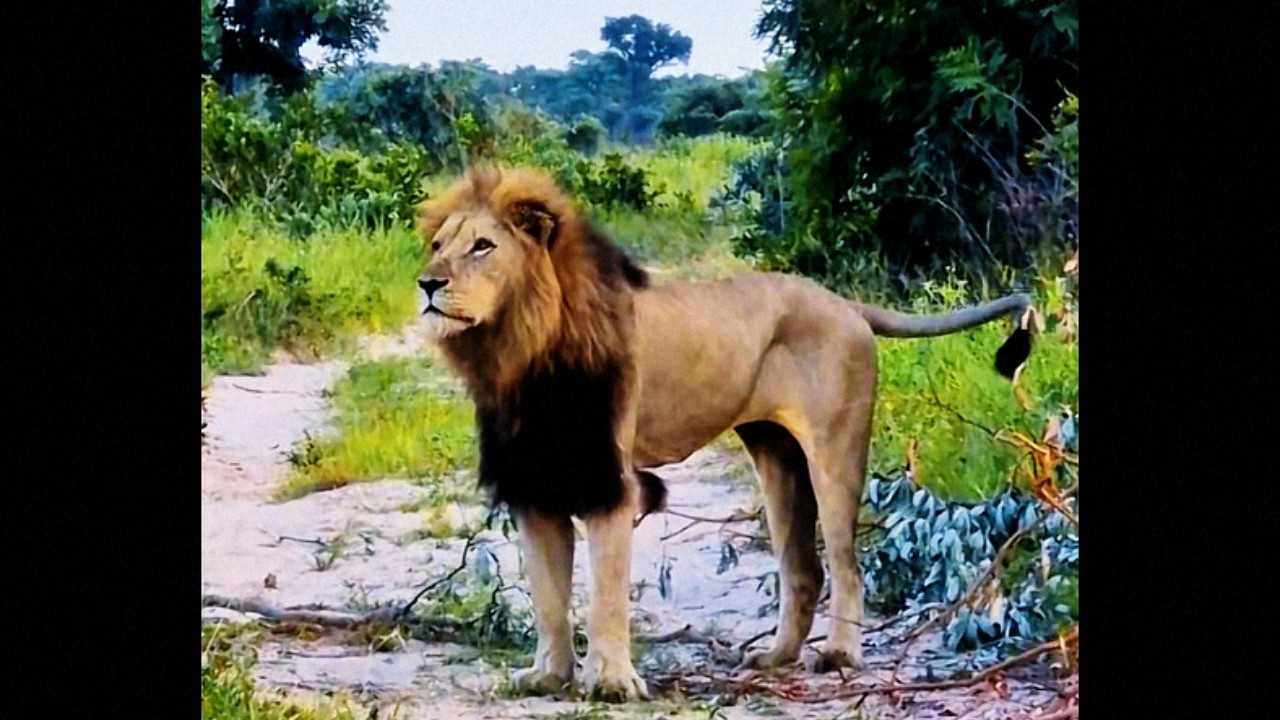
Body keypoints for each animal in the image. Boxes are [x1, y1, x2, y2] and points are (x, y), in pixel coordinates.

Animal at [415, 166, 1035, 702]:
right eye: (438, 245)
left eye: (483, 247)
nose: (426, 283)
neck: (518, 353)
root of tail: (843, 302)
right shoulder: (534, 486)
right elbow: (548, 596)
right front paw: (548, 676)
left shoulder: (608, 483)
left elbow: (605, 595)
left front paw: (612, 683)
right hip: (776, 456)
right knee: (802, 567)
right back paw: (777, 657)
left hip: (834, 453)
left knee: (845, 562)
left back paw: (839, 654)